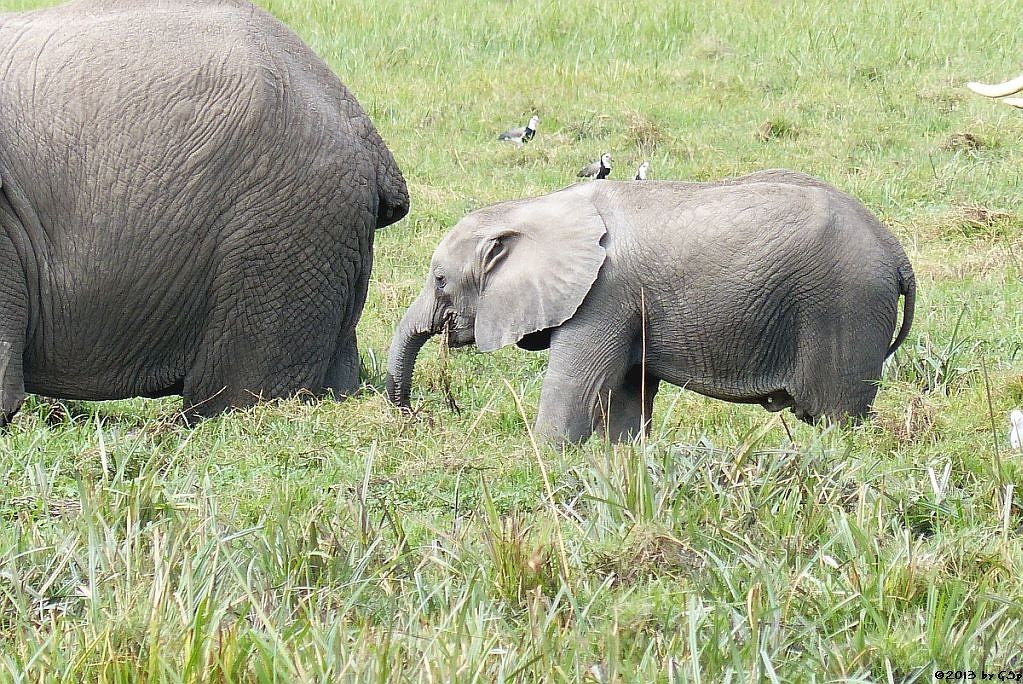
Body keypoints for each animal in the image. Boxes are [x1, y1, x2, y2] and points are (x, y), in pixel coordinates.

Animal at [386, 170, 916, 443]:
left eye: (440, 281)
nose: (415, 416)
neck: (534, 207)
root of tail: (896, 253)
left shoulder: (602, 297)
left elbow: (576, 388)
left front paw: (547, 455)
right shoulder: (624, 306)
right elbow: (626, 395)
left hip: (844, 309)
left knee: (839, 420)